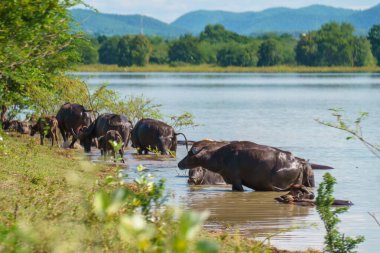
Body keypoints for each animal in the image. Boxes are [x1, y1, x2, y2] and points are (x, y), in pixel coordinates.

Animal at [178, 140, 314, 192]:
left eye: (190, 153)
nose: (179, 163)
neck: (216, 155)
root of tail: (299, 162)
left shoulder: (237, 180)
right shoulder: (233, 182)